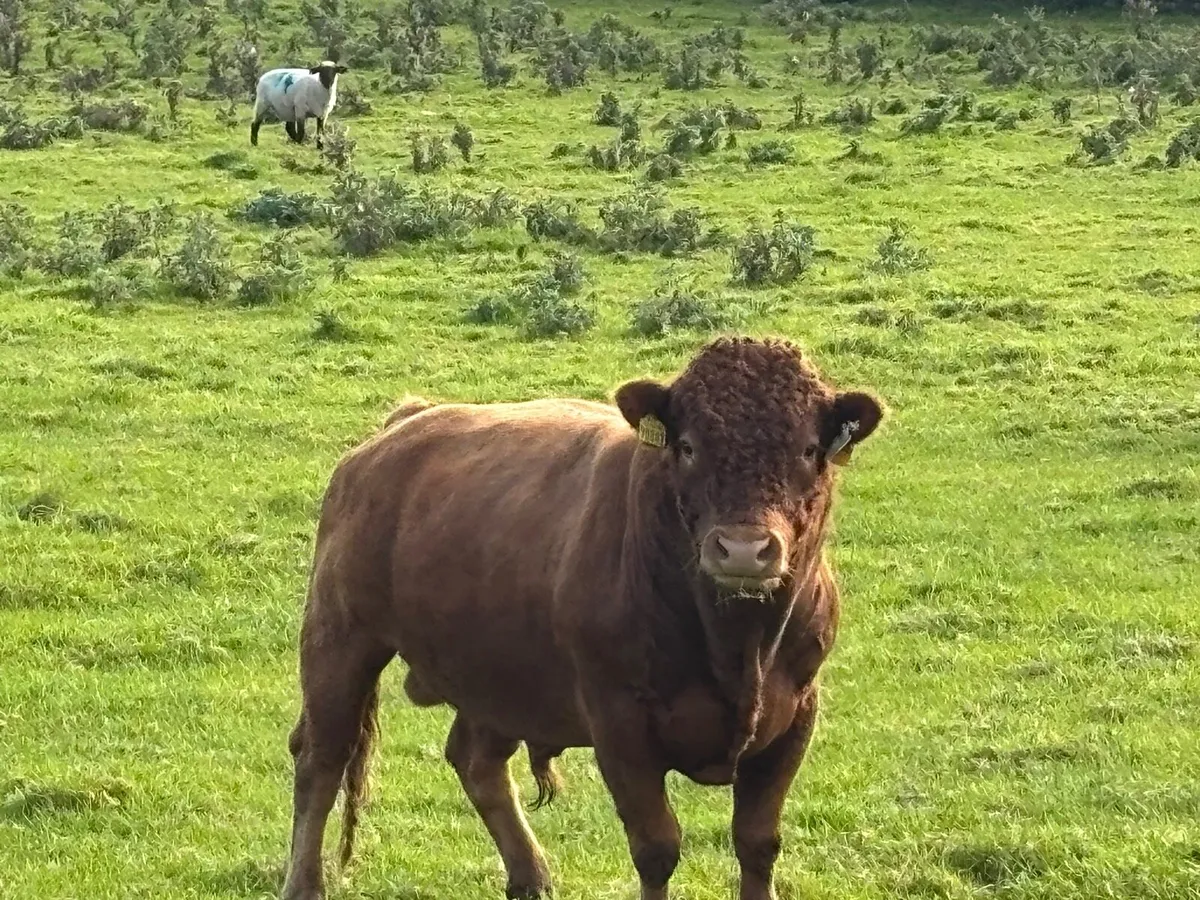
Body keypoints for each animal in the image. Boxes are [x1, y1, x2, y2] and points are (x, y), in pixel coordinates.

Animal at [281, 336, 885, 900]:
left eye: (809, 449)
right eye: (688, 447)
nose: (742, 549)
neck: (736, 646)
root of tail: (403, 424)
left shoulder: (795, 714)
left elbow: (757, 842)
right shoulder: (619, 723)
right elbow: (656, 847)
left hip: (496, 675)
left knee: (477, 762)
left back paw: (530, 876)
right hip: (339, 639)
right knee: (321, 759)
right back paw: (304, 882)